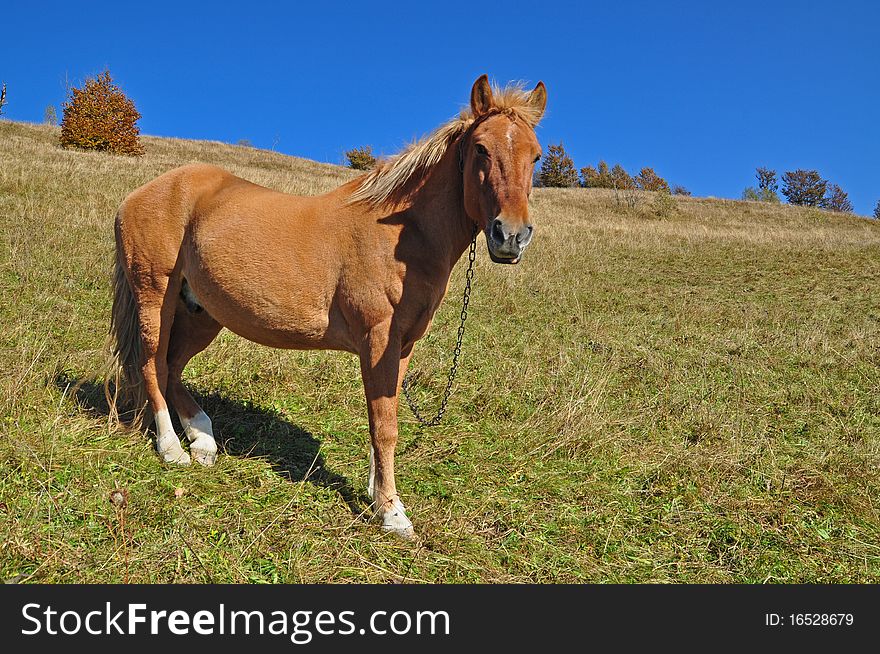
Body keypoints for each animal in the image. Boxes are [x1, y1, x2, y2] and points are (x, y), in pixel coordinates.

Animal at [106, 77, 548, 540]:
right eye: (481, 148)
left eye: (536, 155)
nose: (510, 236)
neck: (402, 236)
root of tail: (140, 194)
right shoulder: (378, 340)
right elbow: (385, 426)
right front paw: (392, 512)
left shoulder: (401, 347)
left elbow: (383, 418)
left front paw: (377, 494)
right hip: (155, 296)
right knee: (153, 365)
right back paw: (172, 448)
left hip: (201, 313)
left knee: (173, 368)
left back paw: (203, 440)